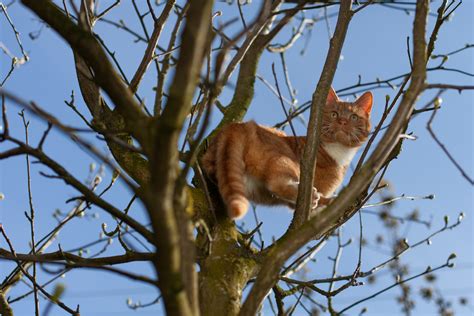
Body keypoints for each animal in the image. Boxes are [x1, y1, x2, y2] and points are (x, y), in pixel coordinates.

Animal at [202, 87, 372, 218]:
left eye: (354, 117)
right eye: (334, 114)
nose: (342, 121)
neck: (339, 153)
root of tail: (235, 126)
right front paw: (325, 202)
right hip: (285, 158)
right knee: (277, 184)